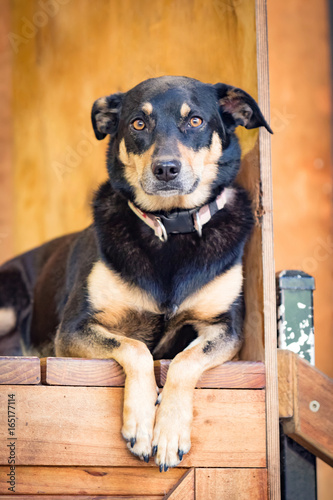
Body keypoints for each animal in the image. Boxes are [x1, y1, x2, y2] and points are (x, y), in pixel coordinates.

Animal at [0, 76, 270, 470]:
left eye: (196, 121)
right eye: (138, 124)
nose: (166, 169)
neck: (170, 225)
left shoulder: (225, 328)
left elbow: (186, 360)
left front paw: (169, 432)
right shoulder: (74, 328)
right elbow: (135, 347)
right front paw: (142, 424)